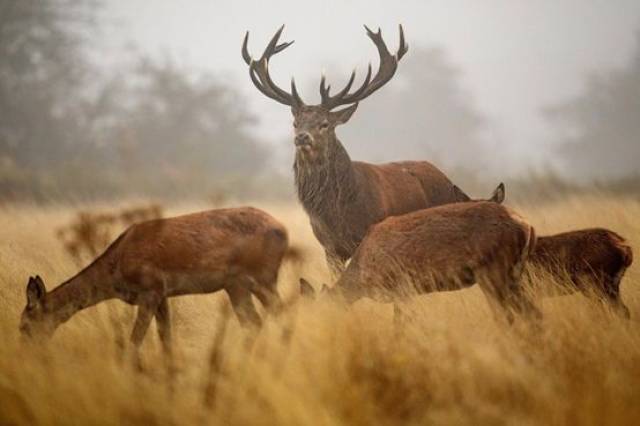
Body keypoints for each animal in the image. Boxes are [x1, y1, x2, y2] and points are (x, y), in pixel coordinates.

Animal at [20, 208, 298, 354]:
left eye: (24, 324)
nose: (26, 351)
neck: (116, 268)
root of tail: (284, 230)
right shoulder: (163, 295)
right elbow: (166, 340)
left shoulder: (150, 290)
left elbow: (134, 342)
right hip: (240, 286)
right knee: (259, 320)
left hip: (256, 280)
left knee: (272, 317)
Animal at [240, 25, 470, 276]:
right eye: (295, 123)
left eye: (324, 124)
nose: (302, 137)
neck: (338, 214)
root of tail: (448, 180)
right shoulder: (329, 248)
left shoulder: (370, 238)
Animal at [300, 201, 540, 324]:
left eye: (319, 315)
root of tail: (528, 226)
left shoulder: (401, 286)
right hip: (514, 273)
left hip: (494, 269)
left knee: (509, 315)